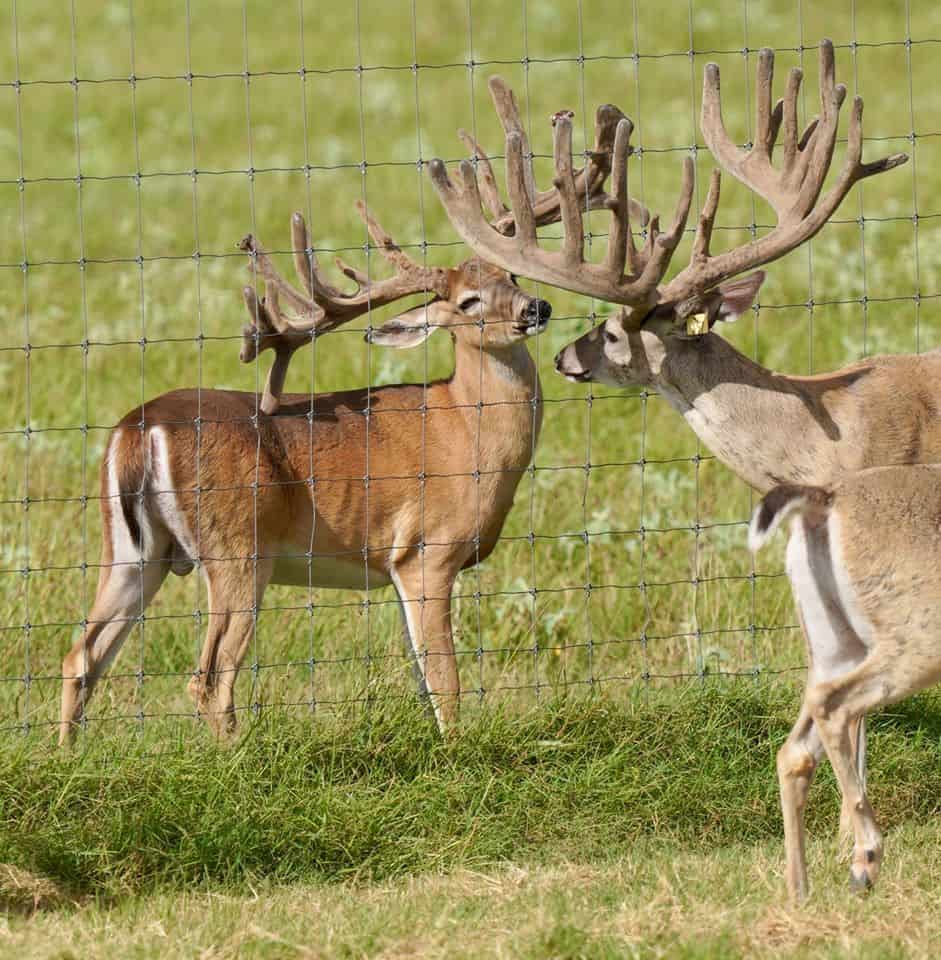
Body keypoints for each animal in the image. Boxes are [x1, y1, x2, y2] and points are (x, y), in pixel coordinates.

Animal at [58, 84, 632, 745]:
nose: (536, 307)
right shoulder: (425, 553)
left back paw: (68, 754)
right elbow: (446, 684)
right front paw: (456, 749)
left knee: (83, 655)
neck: (465, 428)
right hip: (237, 545)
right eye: (468, 301)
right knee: (210, 678)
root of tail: (137, 428)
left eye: (510, 272)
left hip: (135, 549)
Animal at [749, 465, 941, 899]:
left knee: (794, 751)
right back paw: (863, 864)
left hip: (836, 650)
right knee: (832, 705)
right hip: (915, 646)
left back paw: (800, 895)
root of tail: (826, 498)